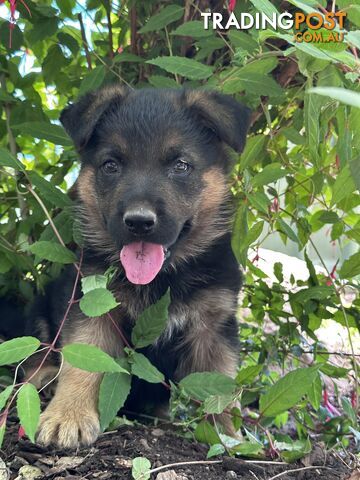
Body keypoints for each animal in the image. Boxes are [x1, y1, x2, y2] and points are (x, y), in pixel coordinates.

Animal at [31, 87, 250, 450]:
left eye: (180, 165)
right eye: (111, 165)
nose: (139, 222)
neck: (165, 278)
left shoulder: (214, 326)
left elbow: (220, 384)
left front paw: (228, 436)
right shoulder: (93, 309)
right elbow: (82, 362)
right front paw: (69, 414)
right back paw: (46, 379)